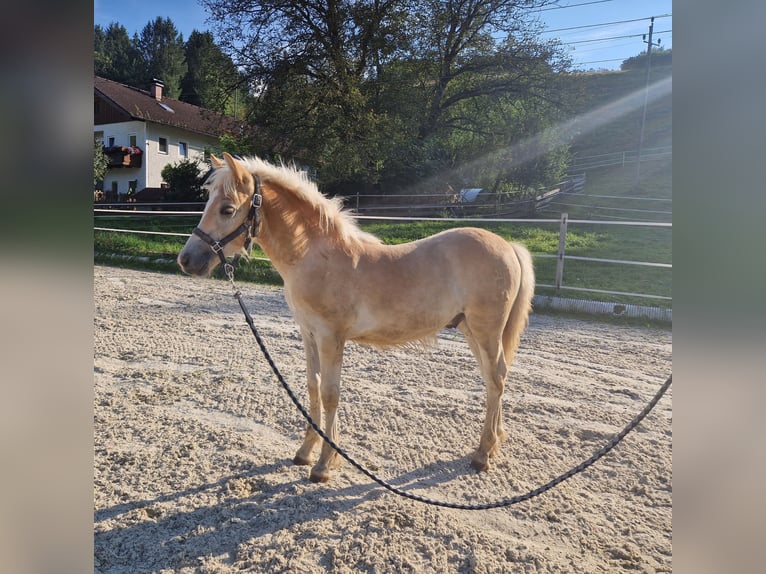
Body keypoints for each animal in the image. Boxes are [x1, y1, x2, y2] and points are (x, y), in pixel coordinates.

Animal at [177, 154, 536, 486]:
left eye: (226, 209)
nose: (187, 260)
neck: (315, 257)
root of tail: (507, 246)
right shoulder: (308, 334)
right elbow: (312, 387)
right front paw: (305, 453)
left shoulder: (331, 337)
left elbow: (330, 393)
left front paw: (324, 465)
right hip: (470, 328)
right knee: (493, 379)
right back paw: (492, 444)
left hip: (486, 330)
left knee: (497, 378)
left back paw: (482, 455)